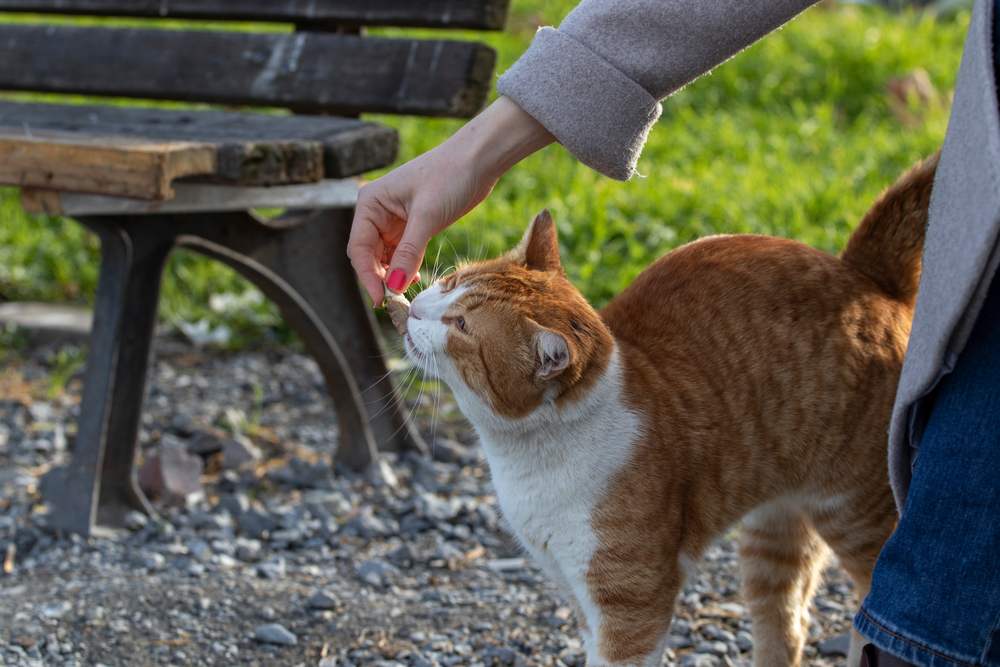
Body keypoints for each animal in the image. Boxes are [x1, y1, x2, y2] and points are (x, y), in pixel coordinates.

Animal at [398, 154, 936, 667]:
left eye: (461, 325)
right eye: (451, 280)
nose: (412, 310)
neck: (526, 456)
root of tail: (865, 276)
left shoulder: (631, 605)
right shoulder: (580, 593)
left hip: (856, 511)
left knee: (870, 600)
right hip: (771, 529)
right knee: (785, 619)